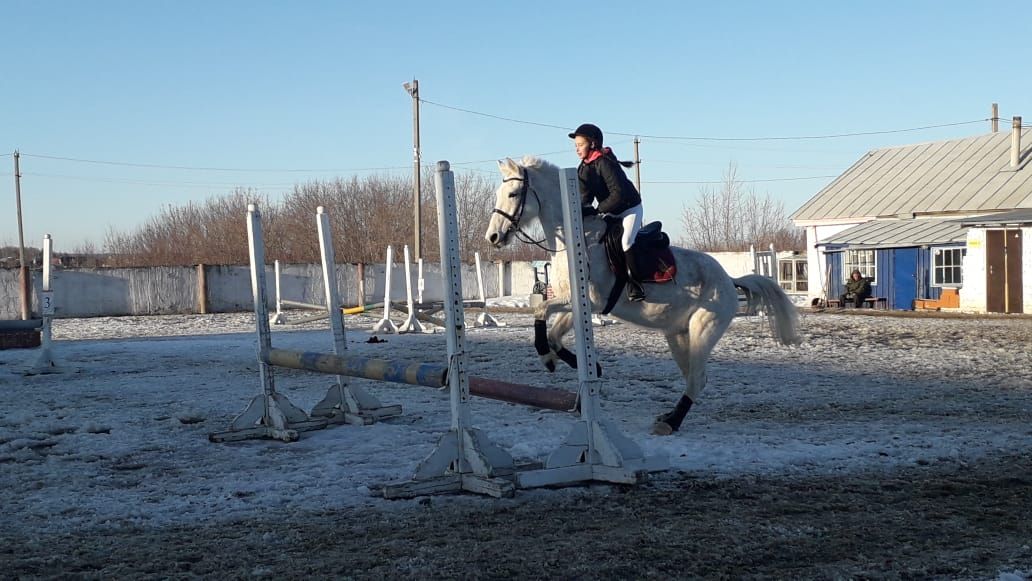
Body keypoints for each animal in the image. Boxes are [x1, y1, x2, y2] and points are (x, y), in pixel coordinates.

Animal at [487, 156, 800, 433]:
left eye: (513, 193)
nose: (493, 237)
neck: (576, 240)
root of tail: (728, 279)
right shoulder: (573, 303)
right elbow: (551, 331)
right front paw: (567, 363)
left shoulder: (591, 301)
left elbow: (540, 311)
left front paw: (550, 357)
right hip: (678, 334)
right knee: (693, 377)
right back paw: (669, 416)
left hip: (704, 328)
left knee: (697, 378)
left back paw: (670, 424)